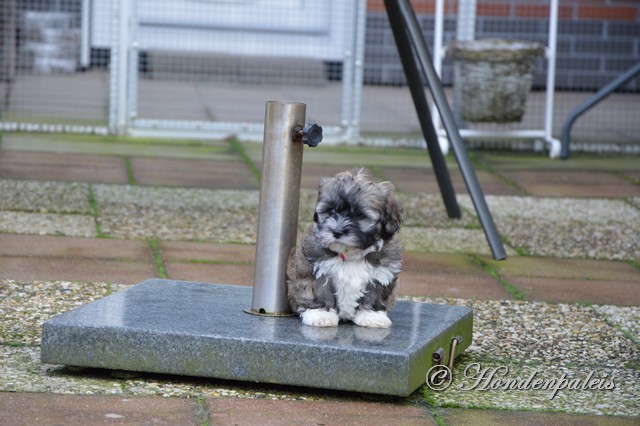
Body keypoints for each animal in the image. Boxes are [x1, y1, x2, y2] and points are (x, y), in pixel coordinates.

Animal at [288, 170, 402, 330]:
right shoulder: (312, 268)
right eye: (330, 210)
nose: (336, 231)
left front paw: (371, 315)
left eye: (359, 215)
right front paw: (321, 314)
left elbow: (374, 294)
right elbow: (319, 290)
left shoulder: (382, 273)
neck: (350, 254)